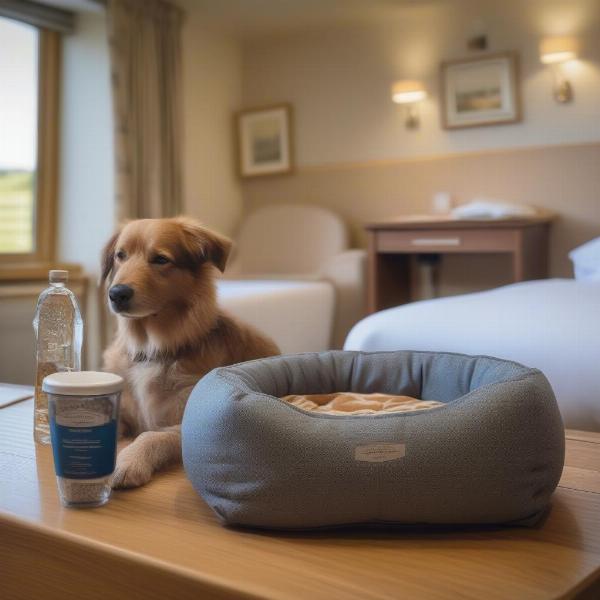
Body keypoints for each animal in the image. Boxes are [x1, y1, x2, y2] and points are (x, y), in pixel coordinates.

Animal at [102, 216, 280, 488]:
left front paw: (129, 459)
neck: (153, 349)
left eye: (161, 259)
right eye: (120, 255)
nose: (116, 293)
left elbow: (151, 435)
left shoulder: (187, 425)